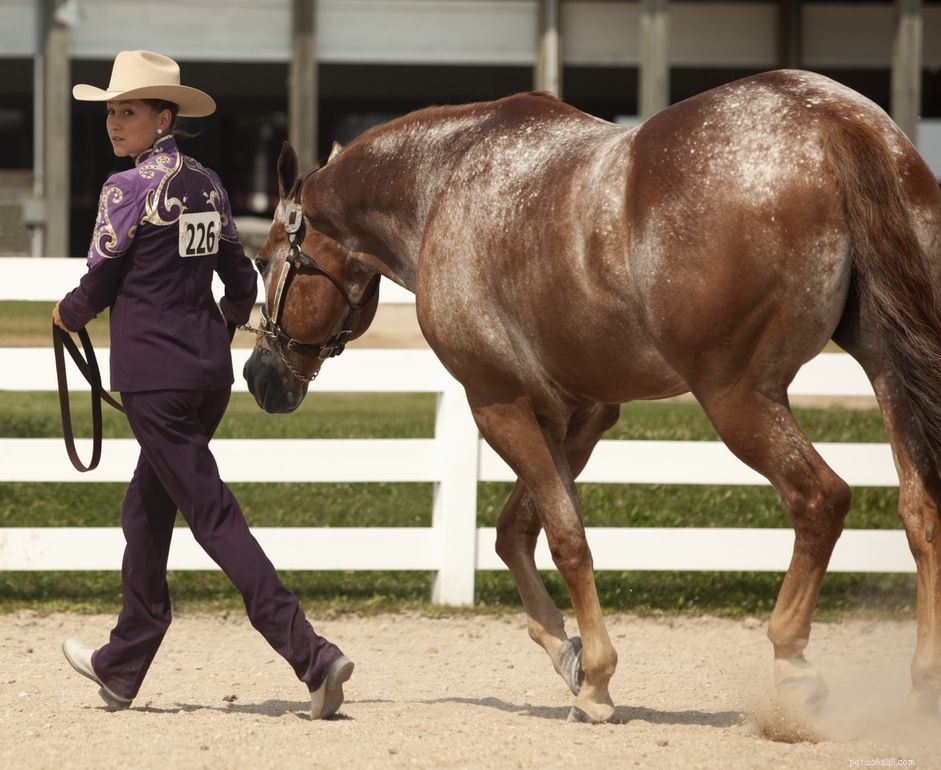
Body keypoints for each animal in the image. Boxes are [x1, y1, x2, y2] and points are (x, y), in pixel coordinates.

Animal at [243, 69, 941, 723]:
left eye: (268, 258)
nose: (258, 376)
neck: (444, 185)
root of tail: (831, 117)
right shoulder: (578, 414)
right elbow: (518, 533)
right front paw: (569, 655)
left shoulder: (496, 404)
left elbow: (565, 538)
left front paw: (597, 680)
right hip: (889, 370)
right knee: (920, 510)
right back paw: (920, 685)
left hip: (738, 397)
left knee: (820, 499)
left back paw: (793, 664)